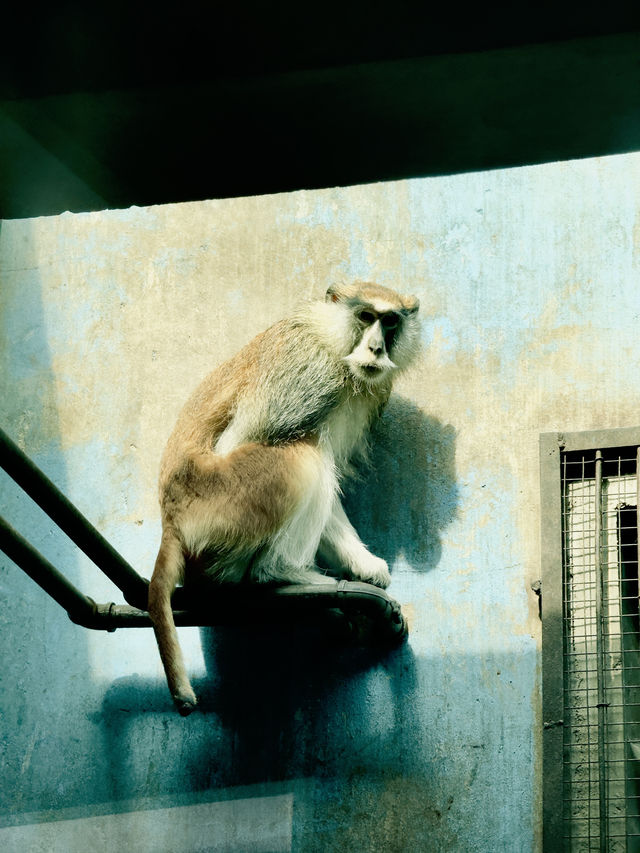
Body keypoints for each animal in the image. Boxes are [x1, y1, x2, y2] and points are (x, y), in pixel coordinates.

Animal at [149, 280, 420, 712]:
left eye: (390, 321)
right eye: (366, 317)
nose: (377, 348)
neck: (328, 338)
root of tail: (171, 518)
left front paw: (365, 566)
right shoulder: (311, 374)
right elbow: (249, 438)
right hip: (224, 499)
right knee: (303, 455)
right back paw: (278, 574)